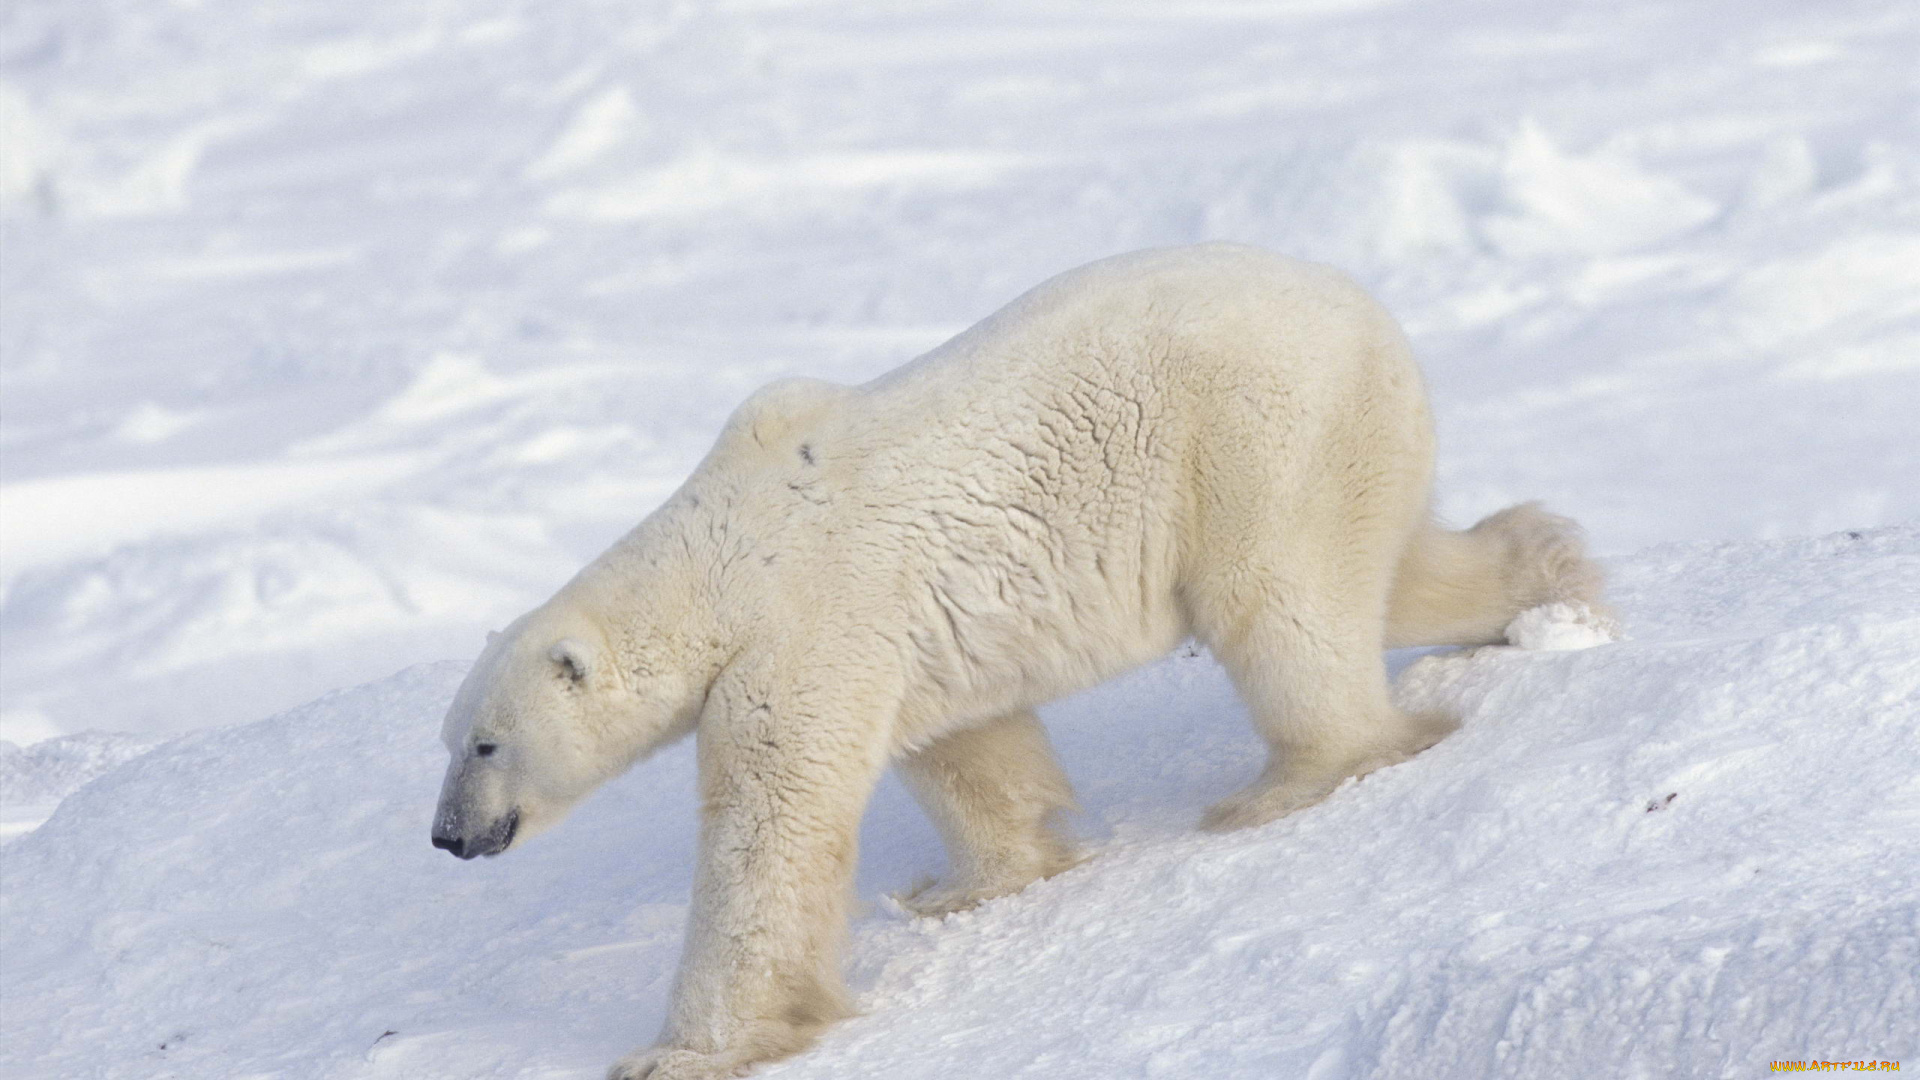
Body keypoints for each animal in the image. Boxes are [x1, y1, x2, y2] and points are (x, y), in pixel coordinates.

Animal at [432, 244, 1605, 1076]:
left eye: (486, 743)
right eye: (446, 742)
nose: (446, 837)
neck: (720, 552)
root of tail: (1373, 316)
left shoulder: (807, 626)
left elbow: (768, 835)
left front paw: (677, 1052)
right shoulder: (903, 635)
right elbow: (966, 748)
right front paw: (970, 887)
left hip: (1255, 441)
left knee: (1282, 605)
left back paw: (1286, 785)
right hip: (1345, 447)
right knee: (1391, 568)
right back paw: (1553, 583)